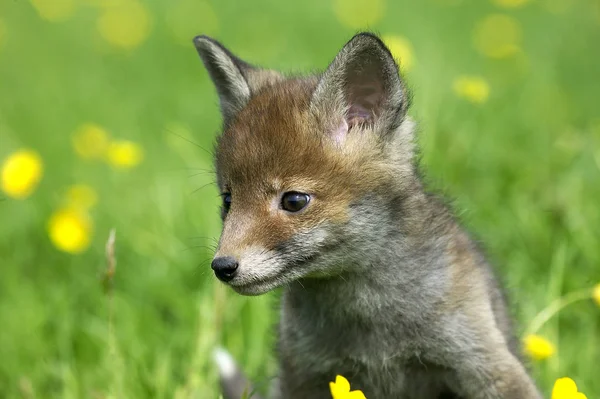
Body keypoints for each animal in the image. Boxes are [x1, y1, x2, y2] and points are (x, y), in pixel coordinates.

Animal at [193, 33, 544, 399]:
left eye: (294, 201)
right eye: (228, 200)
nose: (222, 266)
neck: (371, 325)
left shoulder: (482, 361)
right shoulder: (302, 376)